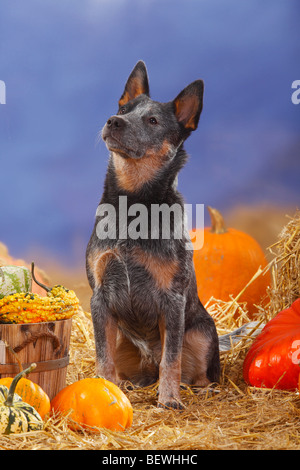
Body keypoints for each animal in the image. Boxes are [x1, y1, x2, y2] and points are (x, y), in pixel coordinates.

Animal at [86, 61, 220, 408]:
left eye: (153, 120)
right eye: (123, 108)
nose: (113, 120)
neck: (133, 205)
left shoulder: (172, 301)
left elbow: (170, 360)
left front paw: (169, 399)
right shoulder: (100, 297)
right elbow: (103, 358)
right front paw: (106, 391)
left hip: (202, 332)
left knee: (195, 371)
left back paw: (201, 388)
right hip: (122, 338)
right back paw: (128, 384)